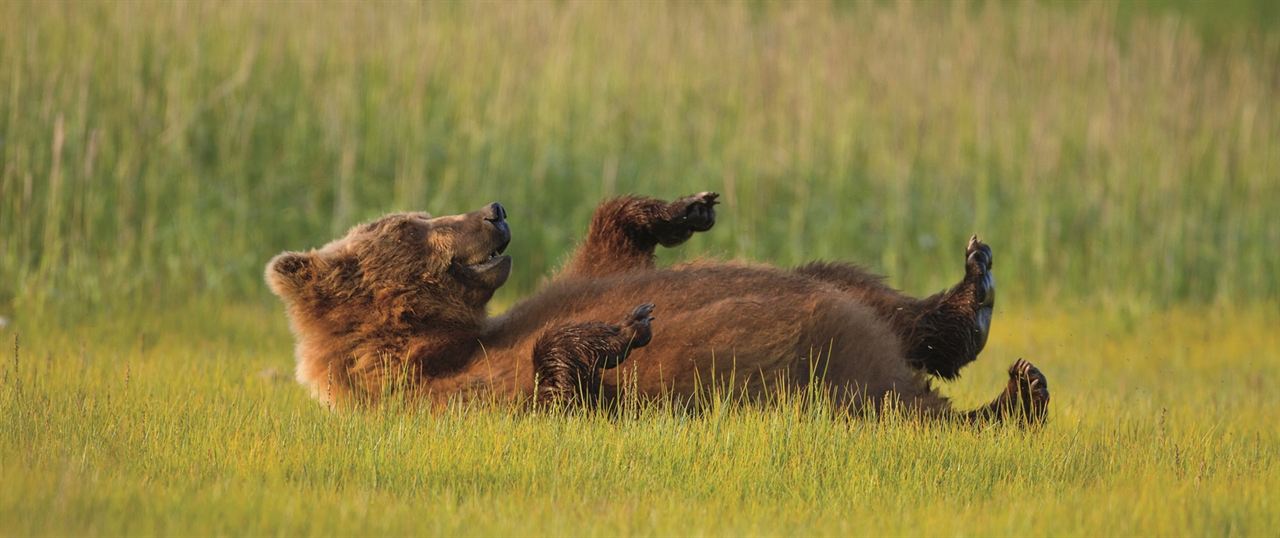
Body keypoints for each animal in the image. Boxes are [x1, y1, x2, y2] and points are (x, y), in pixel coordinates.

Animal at [267, 190, 1049, 422]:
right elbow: (557, 388)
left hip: (840, 301)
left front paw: (683, 211)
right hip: (824, 381)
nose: (493, 211)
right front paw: (622, 326)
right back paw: (1014, 398)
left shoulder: (566, 281)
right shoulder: (447, 395)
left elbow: (609, 246)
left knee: (852, 285)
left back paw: (974, 299)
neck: (439, 340)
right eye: (412, 226)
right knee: (903, 409)